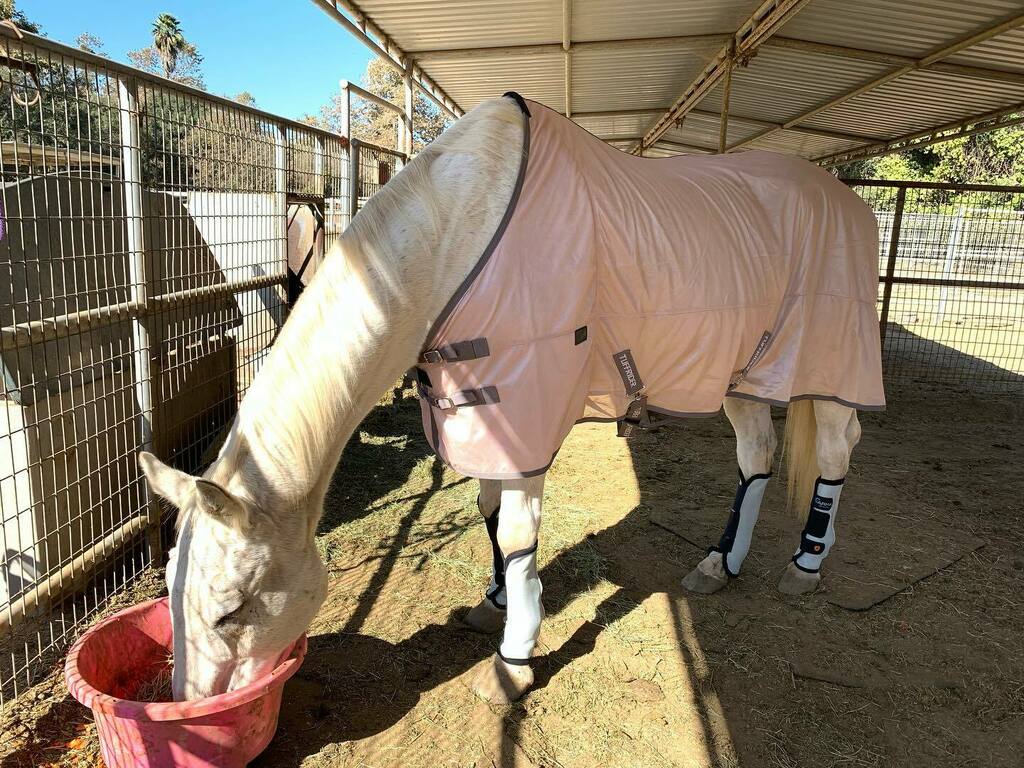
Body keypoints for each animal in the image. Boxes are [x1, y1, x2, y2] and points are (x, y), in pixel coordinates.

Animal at [139, 93, 882, 704]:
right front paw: (493, 602)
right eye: (171, 586)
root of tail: (848, 200)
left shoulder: (525, 413)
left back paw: (806, 564)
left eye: (229, 610)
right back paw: (718, 566)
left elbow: (520, 533)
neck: (454, 234)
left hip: (831, 367)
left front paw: (514, 660)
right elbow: (490, 514)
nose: (189, 706)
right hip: (746, 374)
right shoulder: (479, 412)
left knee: (835, 454)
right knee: (756, 455)